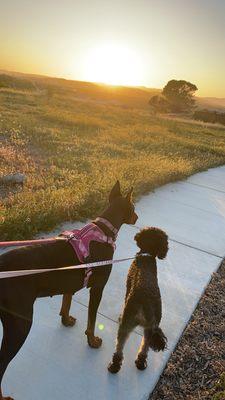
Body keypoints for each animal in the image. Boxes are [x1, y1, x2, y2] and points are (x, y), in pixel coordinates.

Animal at [0, 182, 137, 400]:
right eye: (133, 208)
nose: (137, 217)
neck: (104, 230)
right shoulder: (98, 288)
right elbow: (92, 320)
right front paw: (92, 341)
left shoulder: (71, 283)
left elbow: (66, 302)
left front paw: (66, 320)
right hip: (20, 323)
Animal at [108, 227, 168, 374]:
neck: (147, 255)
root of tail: (146, 304)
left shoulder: (127, 289)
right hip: (150, 327)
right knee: (145, 346)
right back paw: (140, 362)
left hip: (127, 321)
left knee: (120, 345)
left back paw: (114, 365)